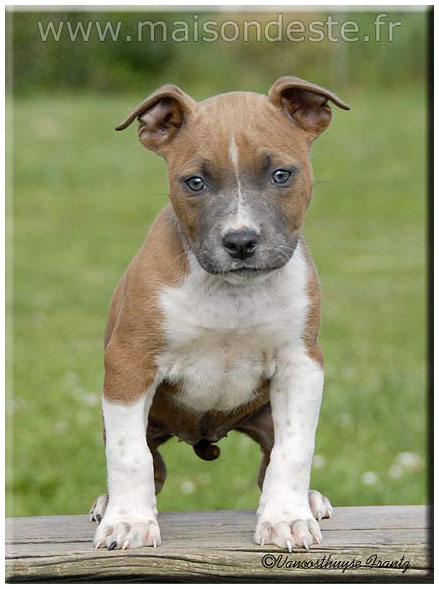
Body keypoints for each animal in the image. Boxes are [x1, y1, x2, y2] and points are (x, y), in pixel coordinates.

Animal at [90, 76, 350, 552]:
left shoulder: (301, 363)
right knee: (151, 462)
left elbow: (294, 449)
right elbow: (128, 453)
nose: (241, 241)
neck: (232, 293)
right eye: (195, 182)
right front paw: (128, 522)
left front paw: (287, 518)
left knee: (269, 459)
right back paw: (108, 504)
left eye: (281, 175)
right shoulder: (128, 362)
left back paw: (308, 499)